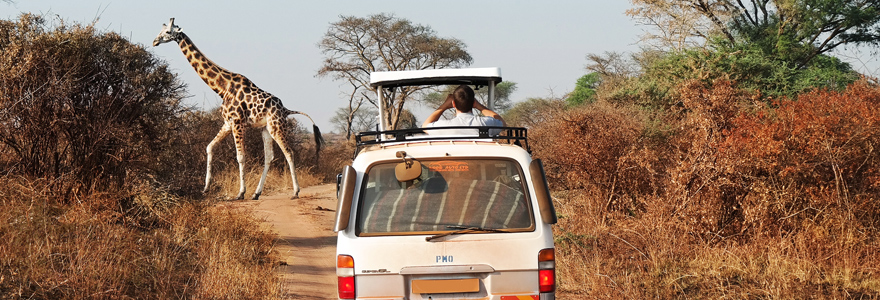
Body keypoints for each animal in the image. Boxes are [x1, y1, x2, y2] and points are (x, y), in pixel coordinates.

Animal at [154, 17, 324, 199]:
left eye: (167, 32)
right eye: (161, 30)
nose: (155, 41)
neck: (222, 87)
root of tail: (285, 110)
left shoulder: (237, 122)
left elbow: (240, 157)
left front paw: (240, 193)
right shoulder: (228, 123)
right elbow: (209, 147)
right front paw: (205, 188)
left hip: (276, 126)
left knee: (288, 152)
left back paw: (295, 192)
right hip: (265, 129)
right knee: (269, 157)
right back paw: (256, 193)